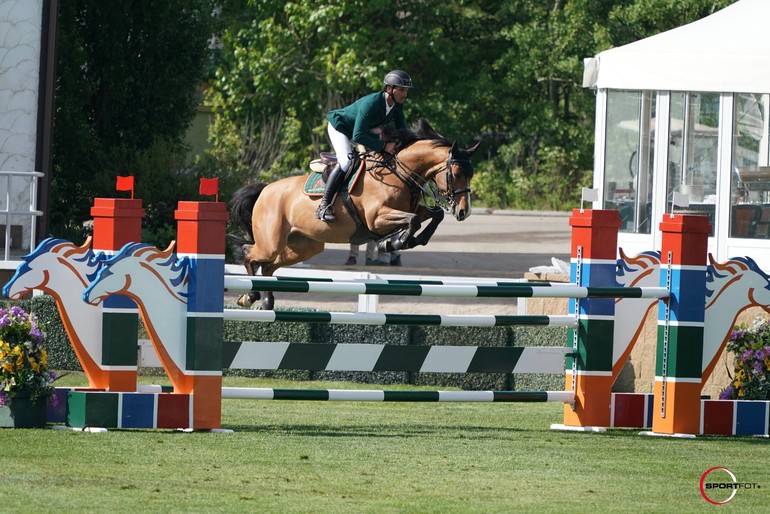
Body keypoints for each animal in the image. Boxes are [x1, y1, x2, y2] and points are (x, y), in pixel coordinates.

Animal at [231, 119, 476, 308]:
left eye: (470, 174)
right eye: (456, 173)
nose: (463, 211)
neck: (398, 173)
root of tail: (265, 189)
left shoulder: (410, 209)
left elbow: (435, 215)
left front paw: (413, 241)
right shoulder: (376, 219)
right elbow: (413, 220)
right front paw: (393, 243)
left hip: (304, 246)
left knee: (269, 266)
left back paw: (266, 301)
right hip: (271, 242)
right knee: (249, 253)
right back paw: (249, 296)